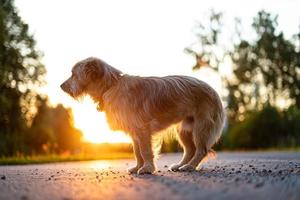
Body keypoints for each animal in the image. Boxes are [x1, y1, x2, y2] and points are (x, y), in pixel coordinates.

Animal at [61, 56, 225, 173]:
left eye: (73, 74)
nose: (61, 86)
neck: (111, 86)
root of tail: (215, 92)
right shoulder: (134, 133)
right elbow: (137, 152)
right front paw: (137, 167)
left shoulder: (142, 129)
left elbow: (145, 151)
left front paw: (147, 168)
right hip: (184, 130)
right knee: (190, 150)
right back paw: (180, 165)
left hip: (200, 128)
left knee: (201, 150)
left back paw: (190, 166)